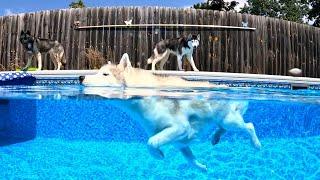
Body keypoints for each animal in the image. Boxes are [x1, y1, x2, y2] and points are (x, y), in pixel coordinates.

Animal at [79, 53, 260, 170]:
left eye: (105, 74)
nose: (80, 77)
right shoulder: (180, 143)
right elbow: (190, 160)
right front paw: (202, 167)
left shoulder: (180, 128)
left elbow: (151, 142)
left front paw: (158, 155)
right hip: (225, 121)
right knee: (224, 128)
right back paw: (216, 137)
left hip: (229, 120)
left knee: (248, 126)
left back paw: (256, 144)